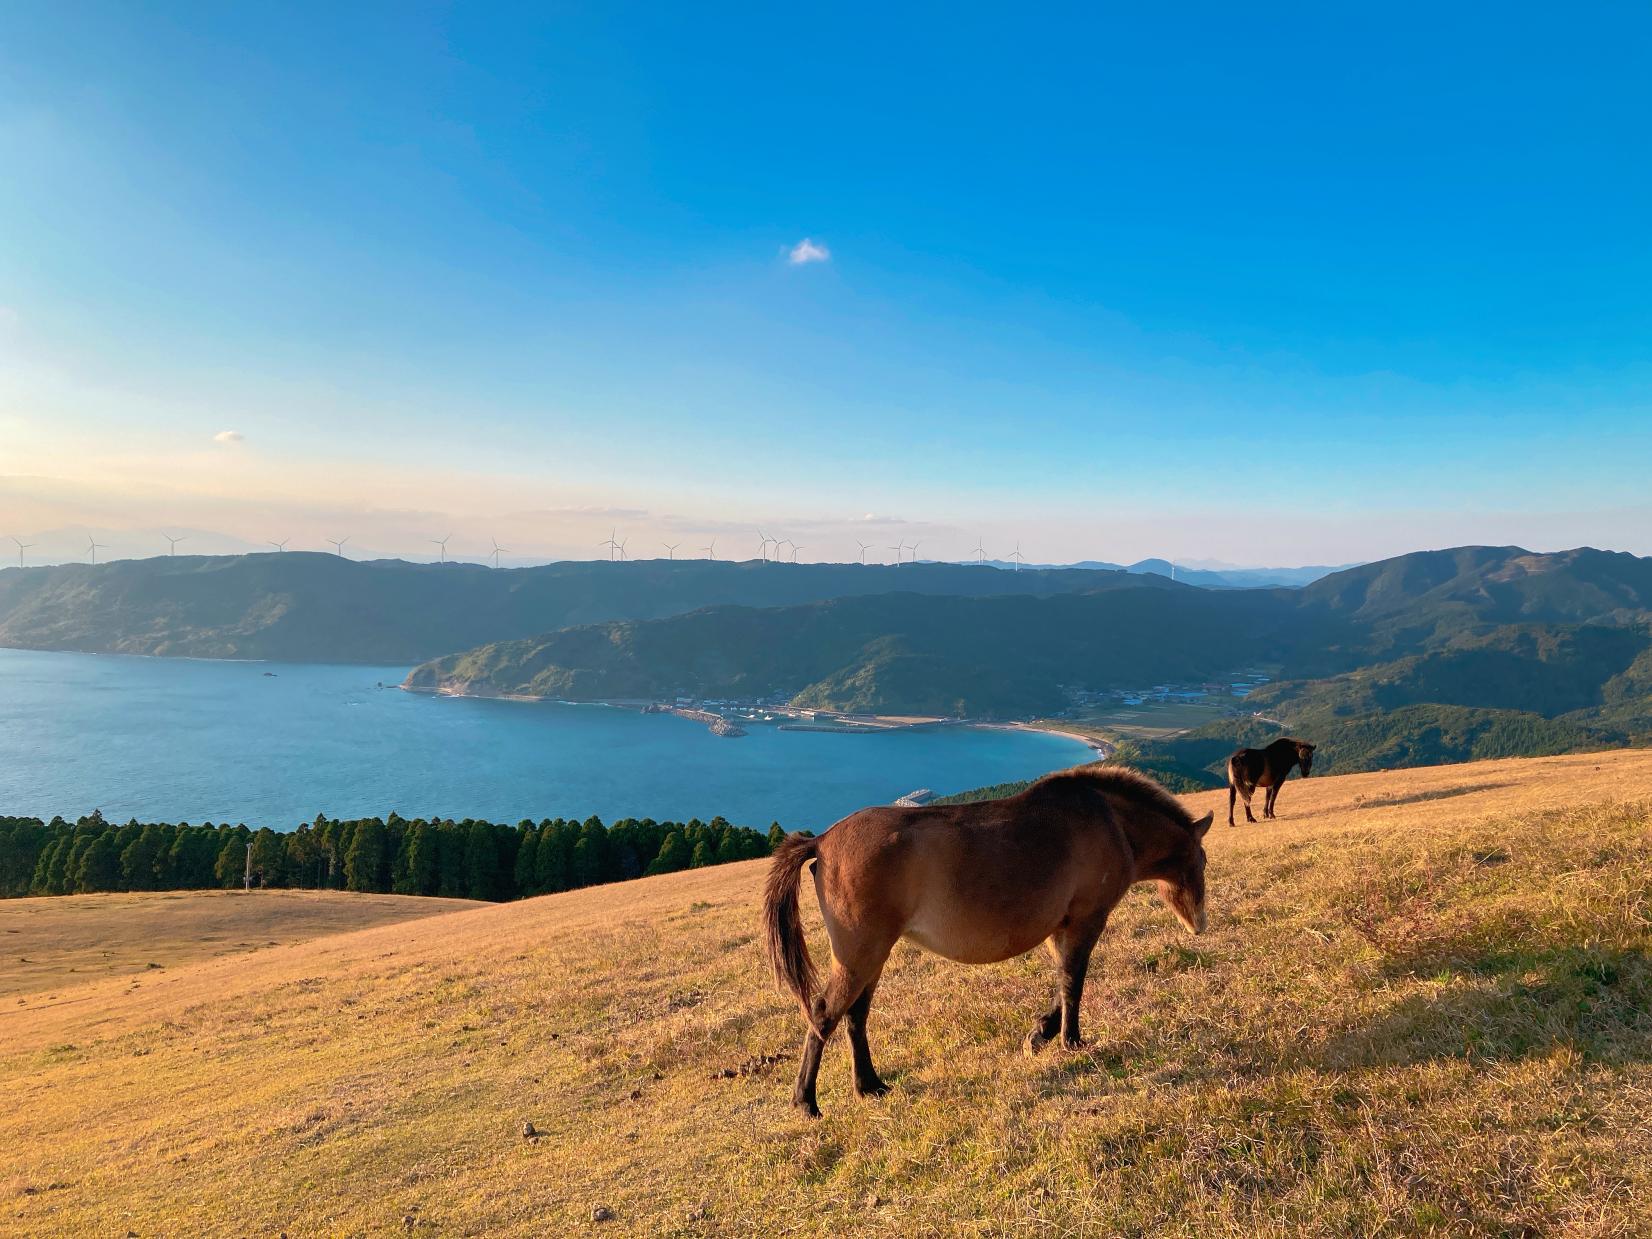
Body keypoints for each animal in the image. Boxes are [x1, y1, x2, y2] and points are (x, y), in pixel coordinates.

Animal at [759, 773, 1215, 1123]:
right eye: (1204, 859)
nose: (1199, 924)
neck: (1111, 822)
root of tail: (822, 840)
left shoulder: (1060, 926)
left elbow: (1061, 980)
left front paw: (1042, 1032)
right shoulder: (1086, 919)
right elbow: (1074, 981)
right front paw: (1071, 1040)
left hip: (871, 955)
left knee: (854, 1016)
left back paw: (868, 1085)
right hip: (860, 954)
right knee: (824, 1014)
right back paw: (806, 1102)